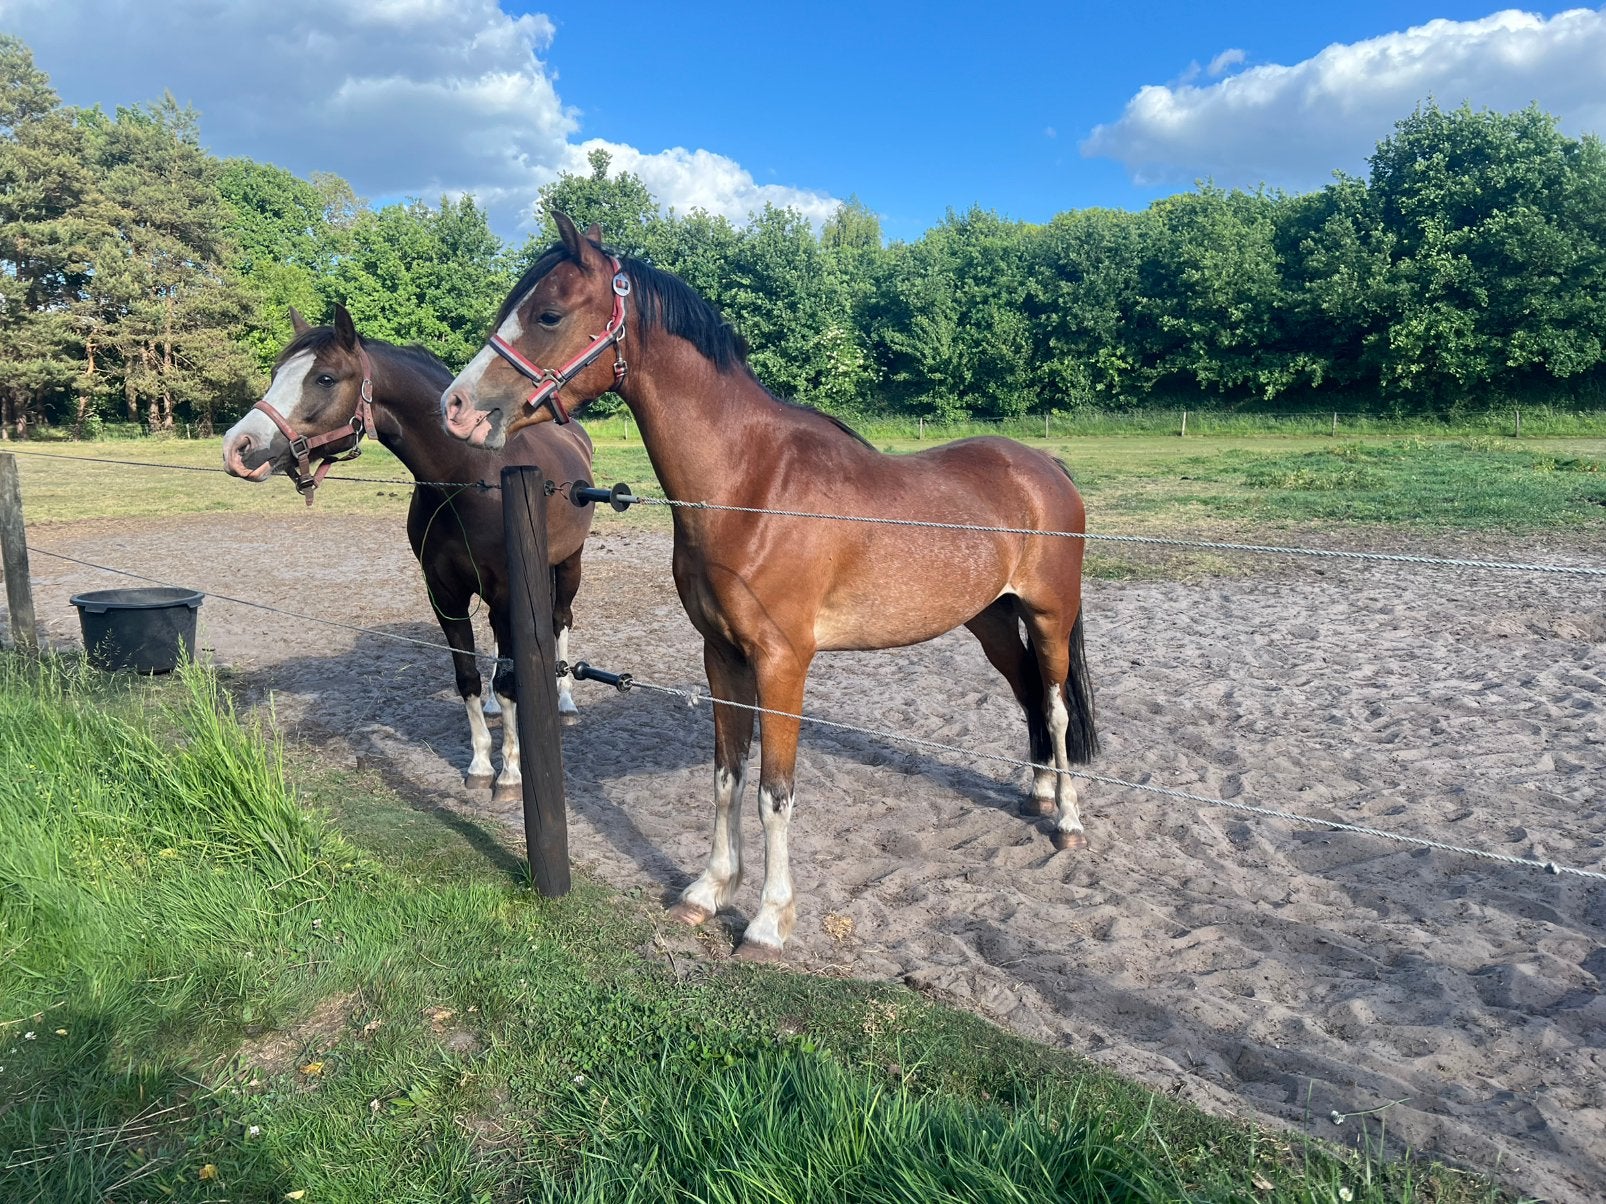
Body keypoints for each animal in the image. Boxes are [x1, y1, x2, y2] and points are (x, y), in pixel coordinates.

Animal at [221, 304, 597, 804]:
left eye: (324, 378)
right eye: (275, 373)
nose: (238, 448)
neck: (468, 479)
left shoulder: (504, 591)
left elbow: (510, 681)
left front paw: (510, 775)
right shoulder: (444, 593)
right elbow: (469, 677)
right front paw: (481, 765)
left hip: (568, 564)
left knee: (560, 620)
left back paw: (566, 700)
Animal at [441, 214, 1096, 959]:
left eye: (548, 313)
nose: (456, 407)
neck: (749, 486)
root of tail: (1043, 464)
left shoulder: (784, 663)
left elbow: (772, 793)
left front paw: (767, 921)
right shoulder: (722, 656)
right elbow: (726, 777)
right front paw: (706, 891)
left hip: (1049, 616)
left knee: (1055, 707)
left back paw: (1068, 820)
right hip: (990, 620)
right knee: (1027, 696)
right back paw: (1037, 793)